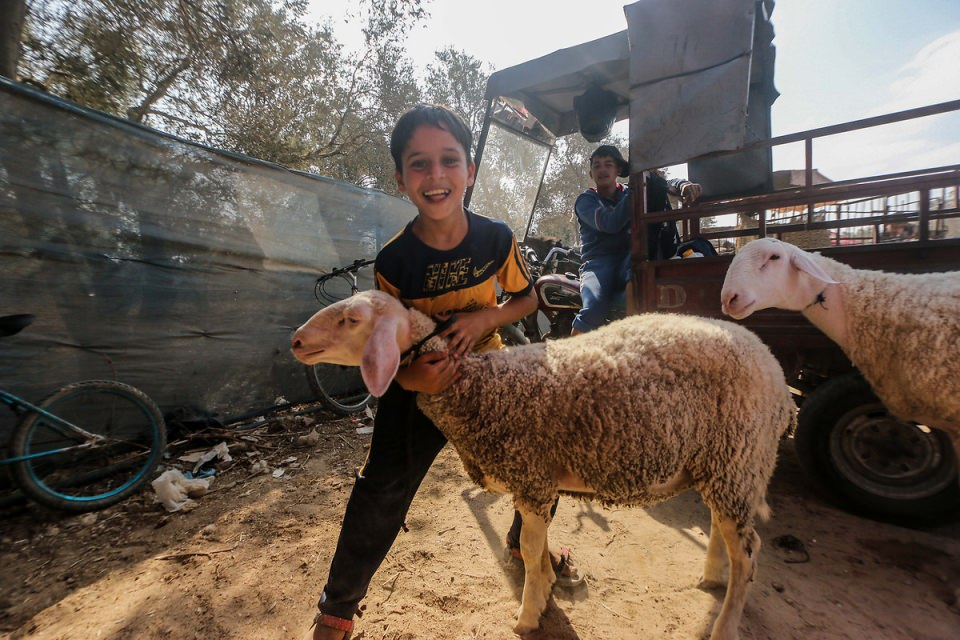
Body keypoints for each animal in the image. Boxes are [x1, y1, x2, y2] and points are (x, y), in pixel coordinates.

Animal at [290, 292, 796, 640]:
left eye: (351, 319)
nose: (295, 340)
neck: (481, 385)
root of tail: (776, 371)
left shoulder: (531, 476)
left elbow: (531, 550)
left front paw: (528, 614)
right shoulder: (536, 477)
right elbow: (539, 544)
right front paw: (550, 582)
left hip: (741, 456)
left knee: (748, 552)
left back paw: (725, 625)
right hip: (724, 464)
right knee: (722, 530)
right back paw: (711, 576)